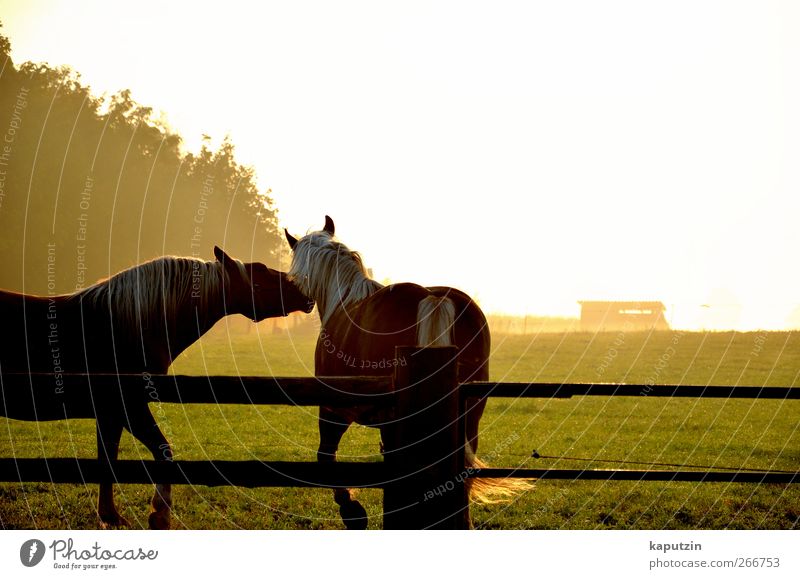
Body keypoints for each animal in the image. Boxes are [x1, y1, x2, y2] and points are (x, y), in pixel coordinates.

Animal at [0, 247, 312, 528]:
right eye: (261, 275)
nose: (305, 293)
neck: (128, 325)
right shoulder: (128, 408)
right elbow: (162, 451)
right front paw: (159, 513)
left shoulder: (110, 414)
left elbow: (108, 459)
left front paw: (110, 516)